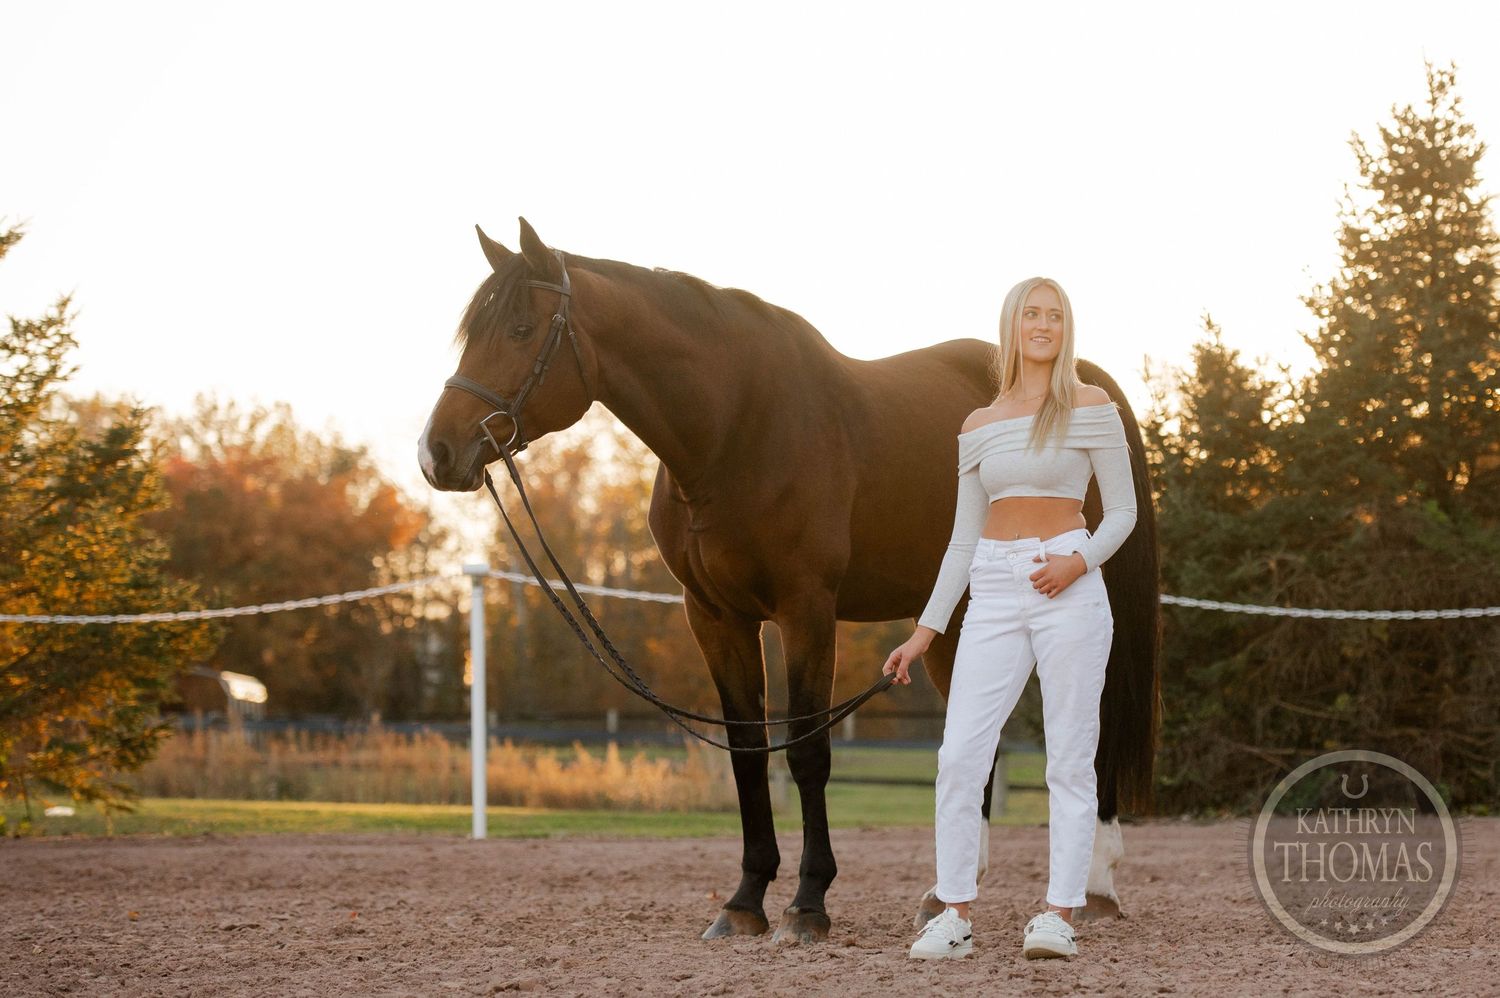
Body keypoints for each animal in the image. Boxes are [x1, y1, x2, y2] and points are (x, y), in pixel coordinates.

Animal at [419, 218, 1161, 943]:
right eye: (472, 331)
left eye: (520, 329)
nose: (437, 453)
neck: (735, 429)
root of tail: (1083, 377)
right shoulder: (715, 616)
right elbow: (749, 751)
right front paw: (745, 902)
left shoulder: (806, 610)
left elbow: (806, 752)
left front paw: (808, 903)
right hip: (955, 615)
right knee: (976, 739)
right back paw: (943, 896)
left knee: (1091, 737)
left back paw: (1098, 888)